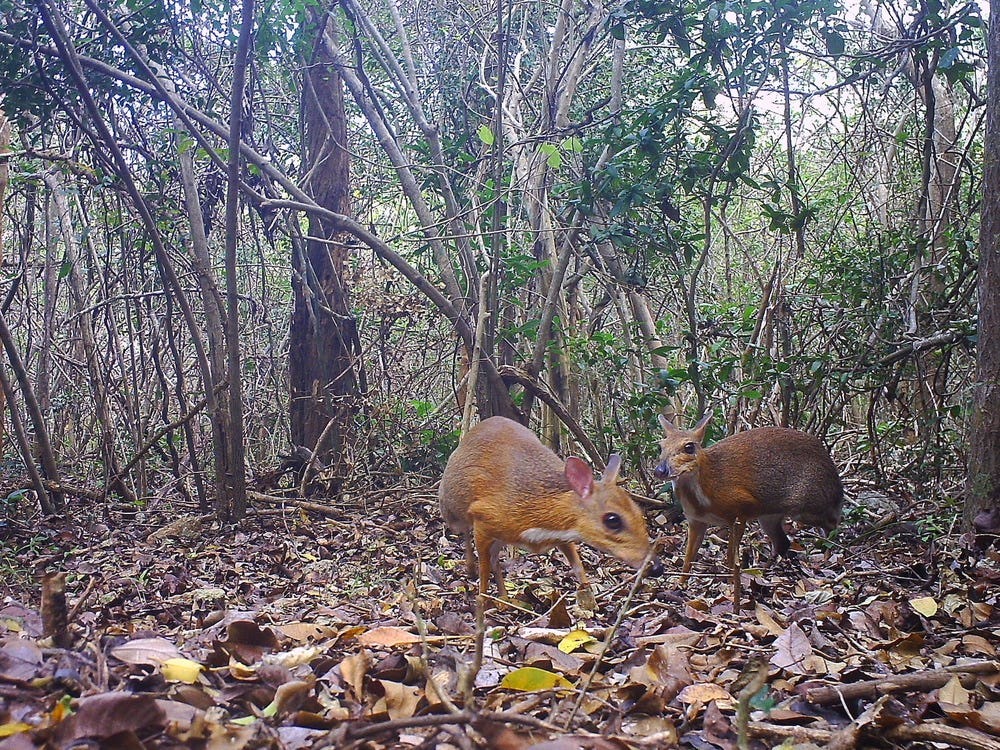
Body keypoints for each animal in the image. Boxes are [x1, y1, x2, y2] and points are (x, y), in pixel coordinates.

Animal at [440, 418, 664, 612]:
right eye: (612, 520)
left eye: (638, 512)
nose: (656, 567)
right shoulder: (482, 516)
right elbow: (484, 569)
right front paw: (483, 602)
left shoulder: (563, 535)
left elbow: (578, 566)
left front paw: (592, 600)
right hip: (451, 510)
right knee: (466, 535)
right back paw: (472, 570)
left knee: (495, 560)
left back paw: (504, 599)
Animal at [656, 414, 844, 604]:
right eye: (661, 446)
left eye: (689, 447)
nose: (660, 470)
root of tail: (834, 475)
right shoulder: (696, 521)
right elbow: (688, 558)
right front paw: (679, 584)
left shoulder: (741, 509)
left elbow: (731, 555)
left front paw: (731, 584)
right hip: (769, 516)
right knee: (783, 542)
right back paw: (764, 571)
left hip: (808, 506)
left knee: (833, 524)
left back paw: (829, 557)